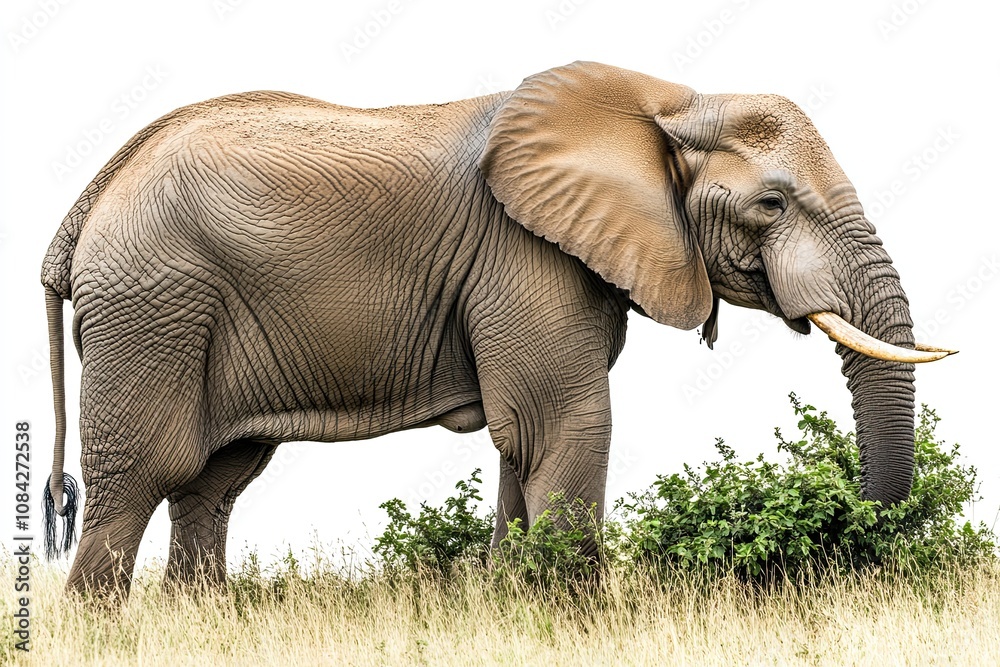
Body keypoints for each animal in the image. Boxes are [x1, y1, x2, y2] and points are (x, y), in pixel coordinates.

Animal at [41, 61, 953, 596]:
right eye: (771, 204)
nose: (851, 528)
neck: (665, 104)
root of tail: (83, 207)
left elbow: (524, 440)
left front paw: (517, 598)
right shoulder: (524, 254)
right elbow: (563, 422)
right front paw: (577, 619)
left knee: (214, 481)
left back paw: (203, 615)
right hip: (152, 306)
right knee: (142, 474)